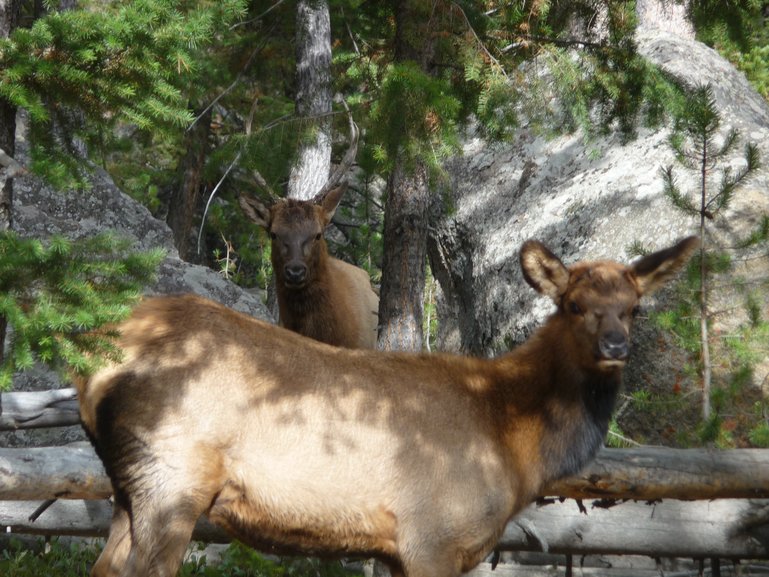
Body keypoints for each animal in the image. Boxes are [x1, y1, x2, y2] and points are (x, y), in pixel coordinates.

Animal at [76, 234, 696, 576]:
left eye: (634, 307)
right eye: (572, 304)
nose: (615, 346)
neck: (515, 441)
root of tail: (96, 356)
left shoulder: (398, 548)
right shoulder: (434, 536)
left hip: (127, 485)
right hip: (173, 476)